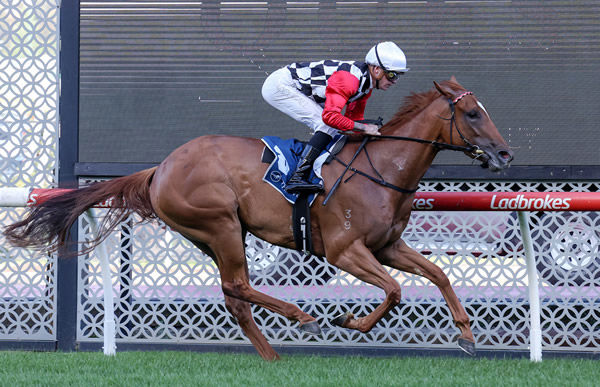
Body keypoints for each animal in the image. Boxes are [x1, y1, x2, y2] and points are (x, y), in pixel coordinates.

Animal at [3, 78, 510, 360]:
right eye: (471, 113)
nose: (504, 154)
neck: (381, 169)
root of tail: (159, 168)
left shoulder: (388, 246)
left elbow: (438, 274)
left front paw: (467, 336)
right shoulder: (346, 250)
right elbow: (394, 290)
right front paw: (351, 323)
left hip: (213, 234)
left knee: (235, 297)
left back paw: (273, 358)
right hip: (221, 223)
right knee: (239, 285)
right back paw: (301, 317)